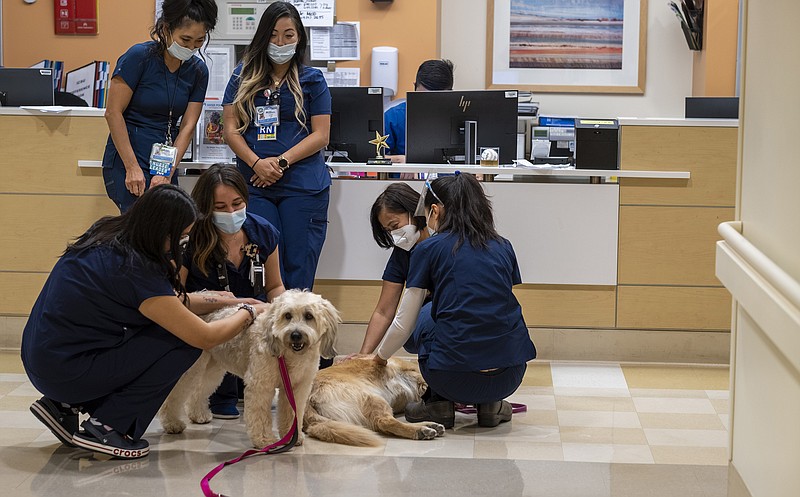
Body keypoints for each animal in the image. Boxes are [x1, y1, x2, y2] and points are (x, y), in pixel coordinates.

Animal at [159, 288, 340, 448]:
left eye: (309, 316)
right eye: (287, 315)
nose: (295, 335)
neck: (288, 355)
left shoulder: (298, 388)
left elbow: (292, 413)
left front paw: (292, 437)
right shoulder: (260, 385)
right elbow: (260, 416)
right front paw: (264, 440)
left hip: (212, 368)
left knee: (199, 391)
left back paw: (198, 415)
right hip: (193, 369)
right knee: (174, 395)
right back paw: (172, 423)